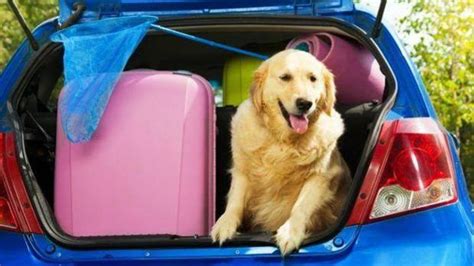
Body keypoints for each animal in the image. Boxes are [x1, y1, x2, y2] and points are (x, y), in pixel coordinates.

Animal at [211, 48, 352, 255]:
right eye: (285, 77)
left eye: (313, 78)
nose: (305, 103)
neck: (283, 141)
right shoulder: (242, 171)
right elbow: (235, 201)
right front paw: (224, 224)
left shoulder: (322, 175)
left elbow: (301, 205)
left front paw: (290, 233)